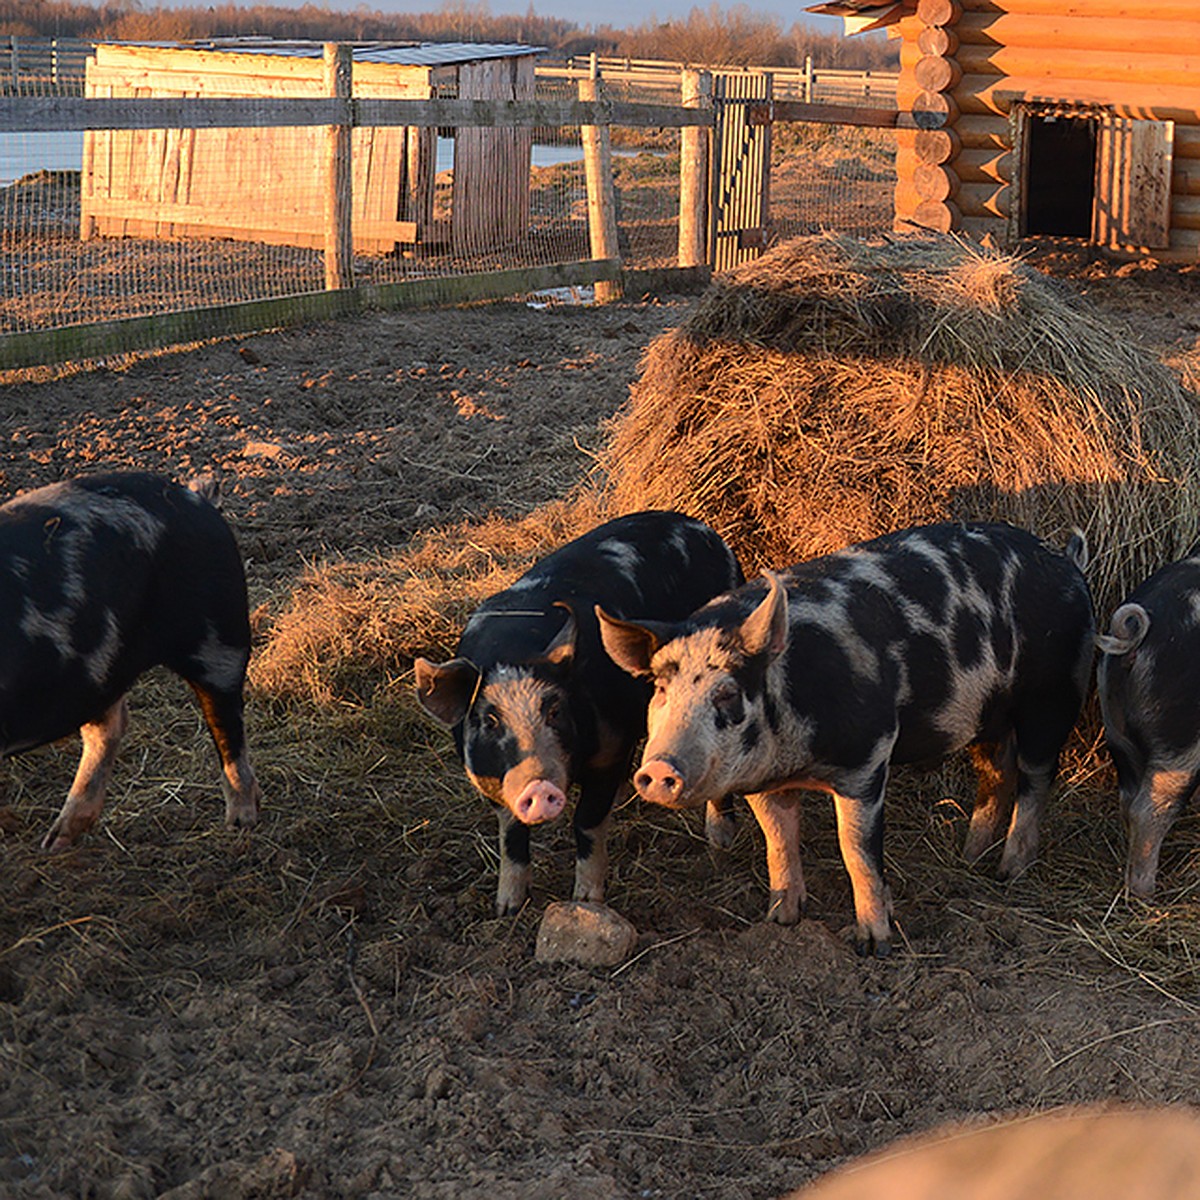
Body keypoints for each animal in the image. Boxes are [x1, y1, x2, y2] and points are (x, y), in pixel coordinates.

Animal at [0, 470, 261, 854]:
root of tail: (194, 497)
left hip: (219, 635)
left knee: (227, 724)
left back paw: (240, 823)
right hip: (97, 674)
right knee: (110, 727)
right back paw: (55, 841)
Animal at [417, 511, 744, 912]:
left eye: (555, 711)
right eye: (489, 721)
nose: (540, 787)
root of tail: (703, 529)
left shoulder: (609, 749)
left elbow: (587, 823)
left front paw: (586, 901)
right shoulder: (488, 780)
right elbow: (511, 836)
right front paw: (507, 907)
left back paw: (720, 840)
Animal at [600, 523, 1099, 955]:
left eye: (726, 692)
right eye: (660, 689)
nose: (658, 768)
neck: (793, 755)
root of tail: (1066, 562)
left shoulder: (867, 758)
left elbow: (856, 850)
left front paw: (872, 944)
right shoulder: (761, 781)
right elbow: (778, 841)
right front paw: (780, 919)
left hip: (1051, 696)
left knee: (1036, 777)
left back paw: (1009, 872)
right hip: (986, 714)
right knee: (997, 771)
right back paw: (971, 857)